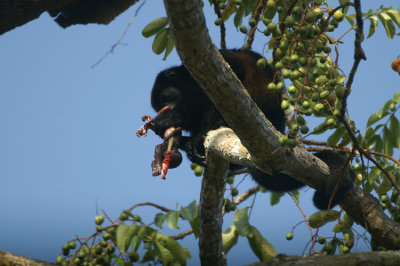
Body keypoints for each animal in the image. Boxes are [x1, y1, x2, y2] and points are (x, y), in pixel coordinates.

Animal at [148, 48, 354, 210]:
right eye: (160, 105)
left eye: (166, 98)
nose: (166, 109)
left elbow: (221, 79)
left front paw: (167, 120)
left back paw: (201, 136)